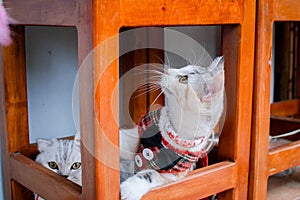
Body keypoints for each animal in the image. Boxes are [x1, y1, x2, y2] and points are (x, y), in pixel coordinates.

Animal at [119, 55, 225, 200]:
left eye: (183, 79)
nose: (167, 70)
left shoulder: (174, 174)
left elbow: (151, 174)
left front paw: (130, 188)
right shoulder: (137, 134)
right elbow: (123, 142)